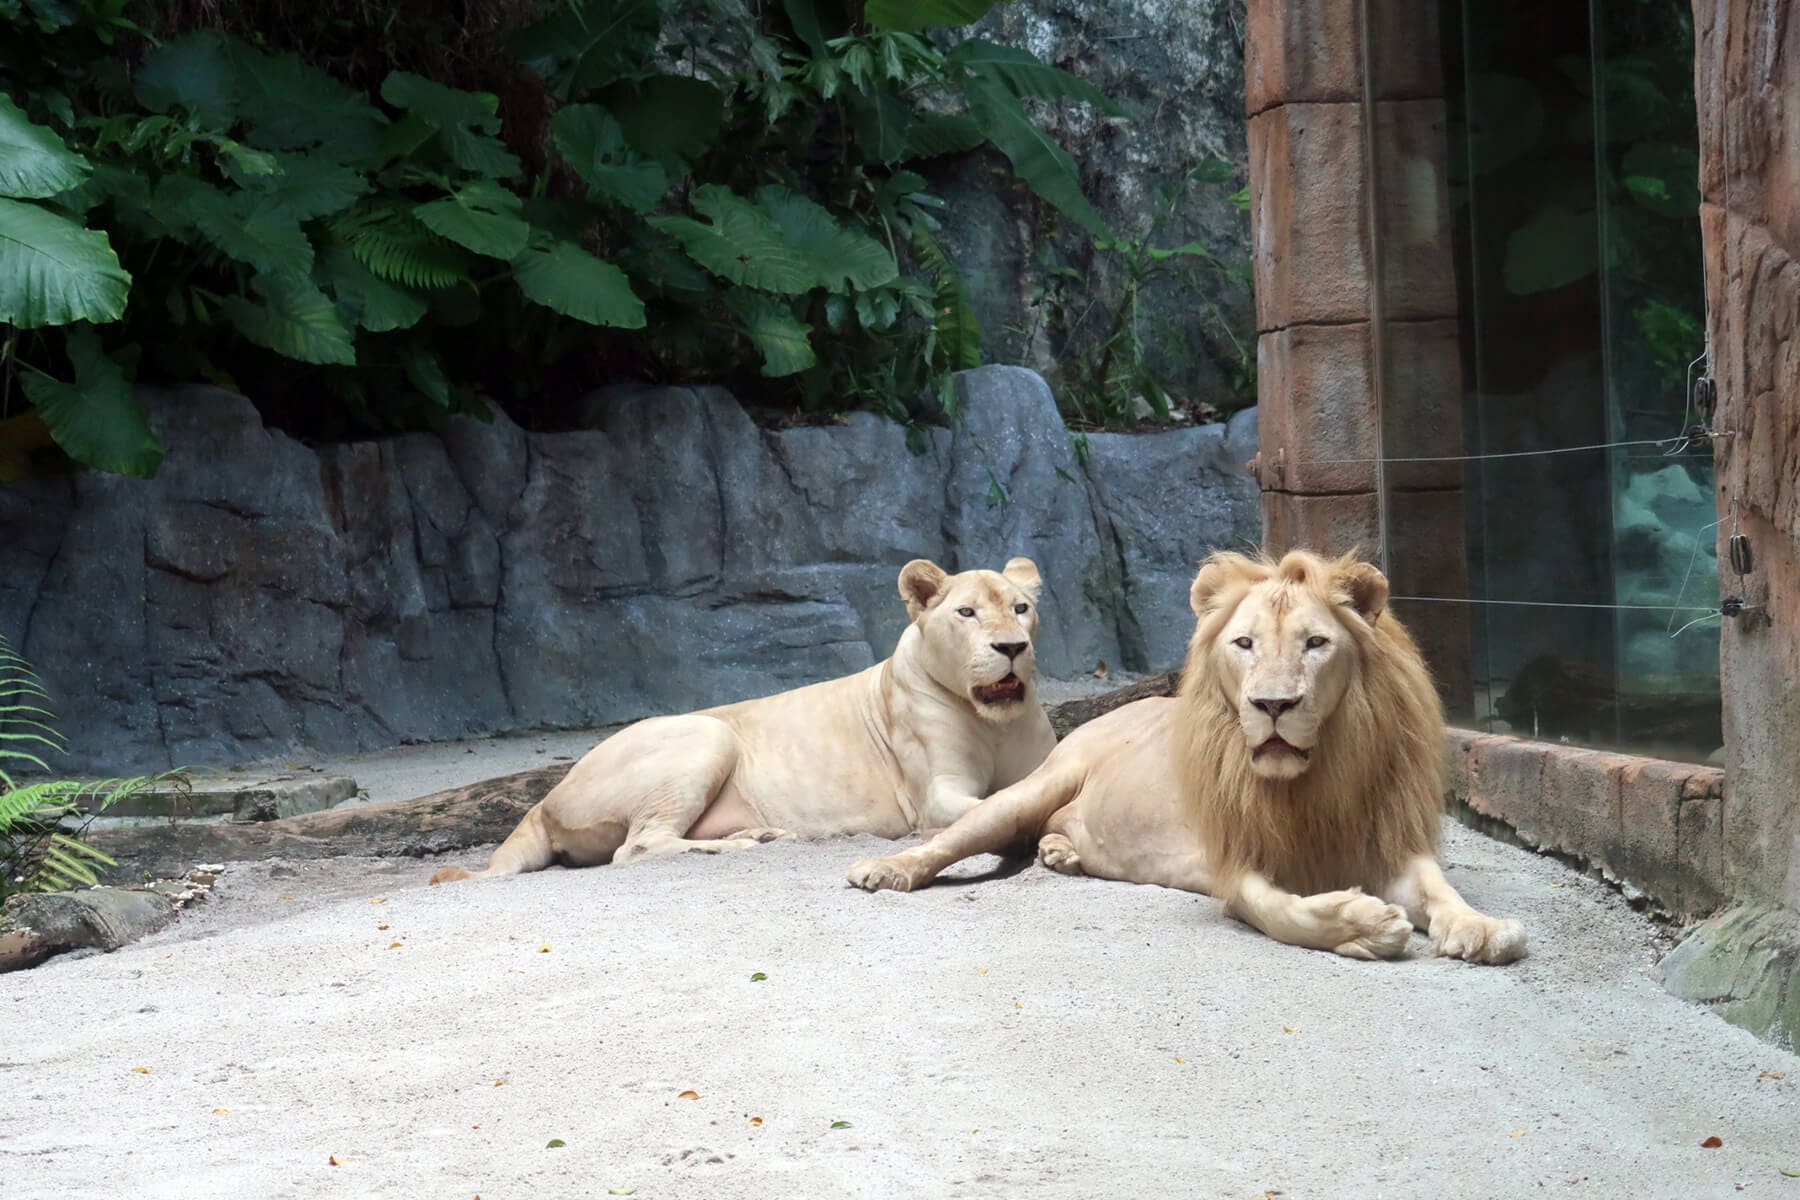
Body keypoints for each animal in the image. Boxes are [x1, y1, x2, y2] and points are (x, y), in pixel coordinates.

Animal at [432, 557, 1051, 881]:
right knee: (635, 847)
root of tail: (544, 799)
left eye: (1021, 608)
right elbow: (991, 802)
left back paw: (761, 832)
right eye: (966, 612)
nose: (1011, 647)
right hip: (705, 732)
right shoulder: (933, 796)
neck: (994, 720)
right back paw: (739, 847)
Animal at [849, 550, 1526, 964]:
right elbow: (1284, 912)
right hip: (1033, 787)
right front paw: (1364, 925)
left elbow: (1439, 889)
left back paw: (1062, 851)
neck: (1313, 780)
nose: (1273, 705)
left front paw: (1483, 927)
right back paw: (885, 870)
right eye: (1244, 644)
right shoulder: (1235, 863)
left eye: (1315, 644)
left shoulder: (1388, 839)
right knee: (948, 839)